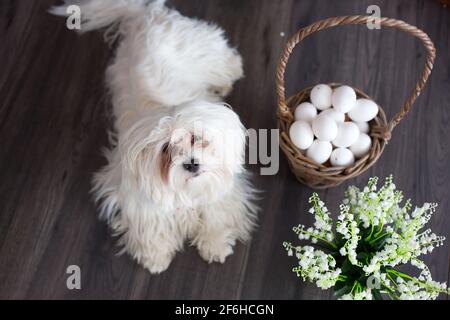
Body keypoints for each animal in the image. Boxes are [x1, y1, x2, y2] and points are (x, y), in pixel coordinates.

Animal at [50, 0, 256, 272]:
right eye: (166, 150)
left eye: (195, 137)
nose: (191, 164)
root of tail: (142, 15)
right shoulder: (136, 201)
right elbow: (150, 228)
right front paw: (155, 257)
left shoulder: (222, 191)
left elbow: (217, 215)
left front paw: (215, 244)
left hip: (203, 51)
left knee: (223, 57)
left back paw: (233, 72)